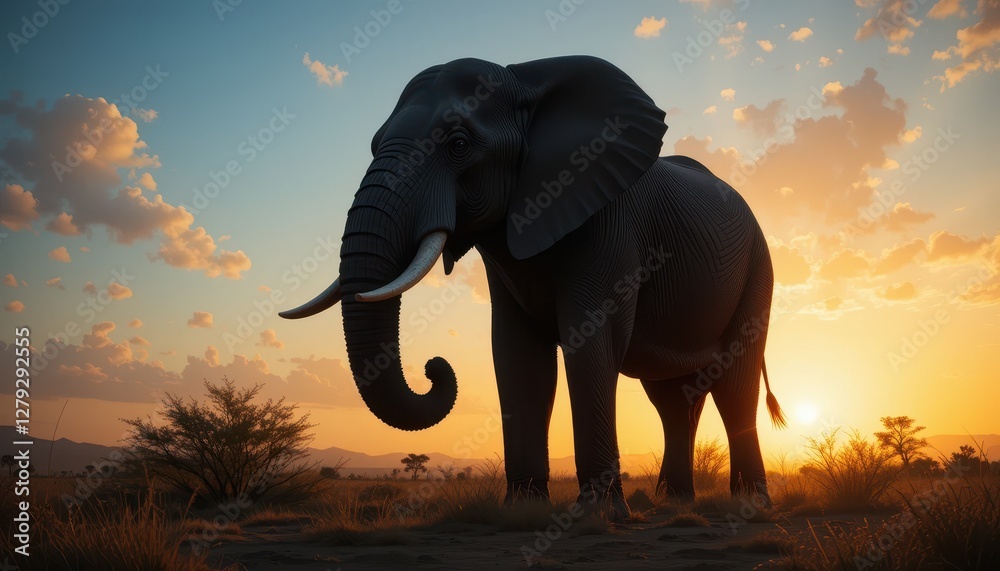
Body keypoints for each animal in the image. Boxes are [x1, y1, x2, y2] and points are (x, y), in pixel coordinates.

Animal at [280, 55, 786, 519]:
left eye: (458, 144)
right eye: (372, 144)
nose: (434, 367)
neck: (525, 80)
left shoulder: (610, 222)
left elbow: (592, 340)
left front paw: (598, 517)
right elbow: (517, 353)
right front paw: (523, 510)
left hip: (758, 269)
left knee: (734, 383)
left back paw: (751, 505)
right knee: (674, 399)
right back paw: (676, 504)